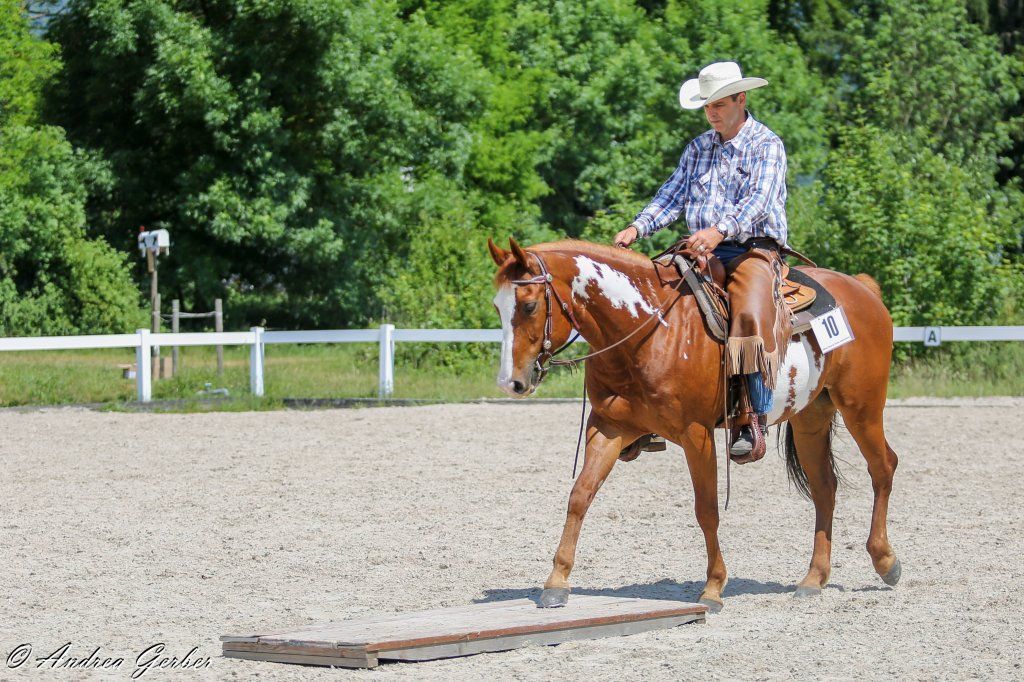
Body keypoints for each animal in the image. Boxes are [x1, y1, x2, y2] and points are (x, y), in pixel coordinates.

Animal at [487, 237, 900, 612]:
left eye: (528, 305)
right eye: (497, 306)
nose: (512, 383)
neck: (650, 328)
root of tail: (863, 287)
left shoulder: (696, 434)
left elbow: (706, 510)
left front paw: (714, 588)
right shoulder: (609, 428)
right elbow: (580, 496)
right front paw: (556, 582)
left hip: (861, 406)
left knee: (883, 467)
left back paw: (885, 561)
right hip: (811, 417)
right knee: (825, 488)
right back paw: (814, 578)